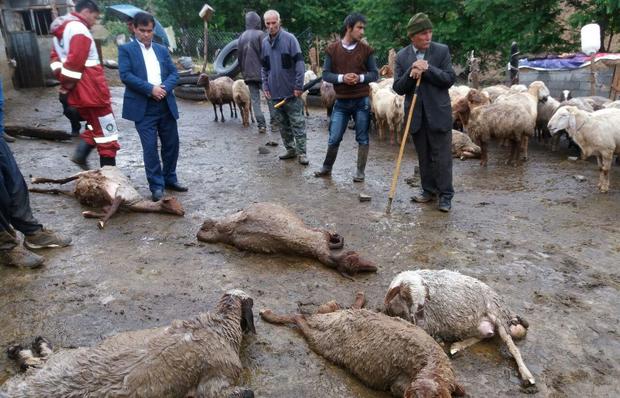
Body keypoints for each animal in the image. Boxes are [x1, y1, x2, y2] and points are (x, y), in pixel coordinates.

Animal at [382, 270, 532, 386]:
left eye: (425, 295)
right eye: (404, 295)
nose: (420, 317)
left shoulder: (428, 325)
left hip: (497, 313)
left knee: (513, 347)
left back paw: (527, 376)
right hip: (481, 326)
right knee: (486, 334)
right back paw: (457, 346)